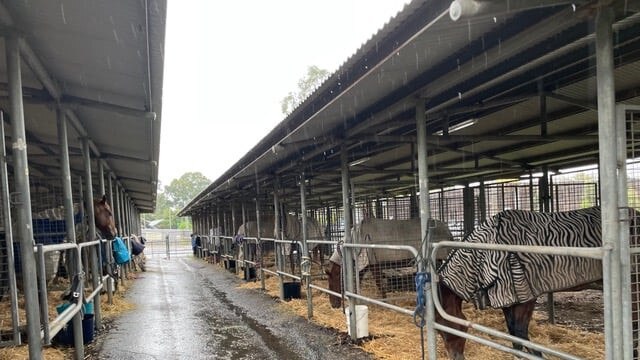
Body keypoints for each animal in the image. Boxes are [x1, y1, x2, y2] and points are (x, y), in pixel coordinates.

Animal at [324, 218, 456, 308]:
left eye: (333, 279)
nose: (334, 305)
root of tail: (449, 232)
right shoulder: (365, 266)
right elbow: (360, 281)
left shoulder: (373, 264)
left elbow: (378, 284)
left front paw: (384, 301)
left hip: (437, 259)